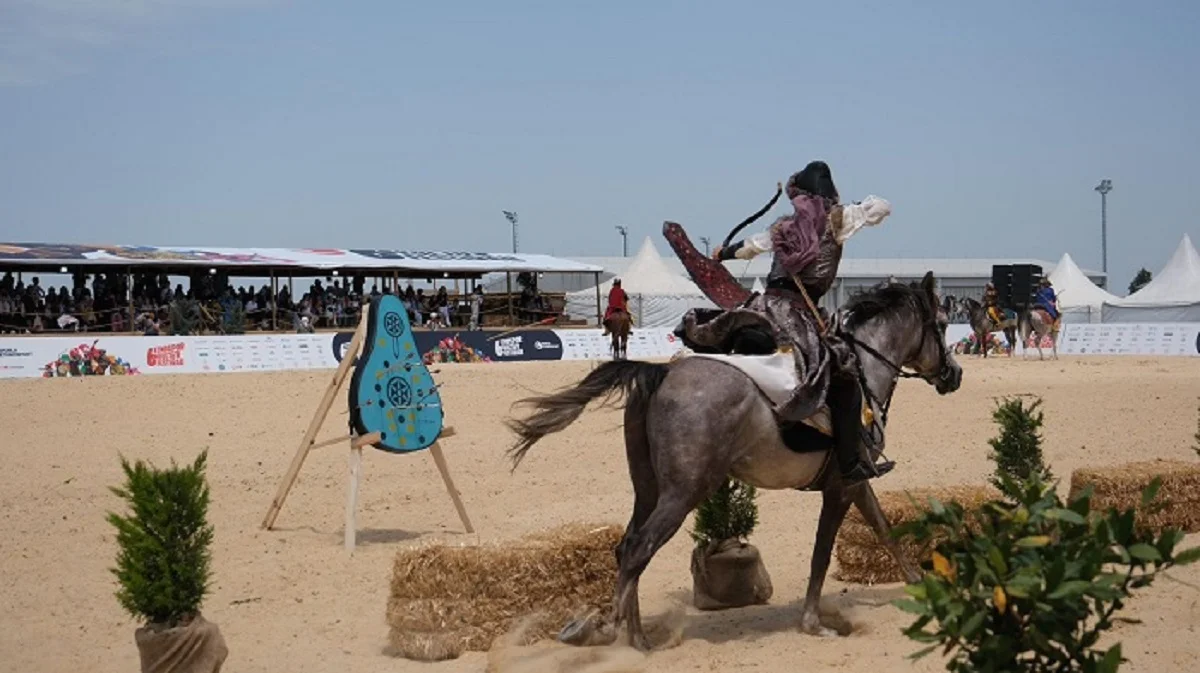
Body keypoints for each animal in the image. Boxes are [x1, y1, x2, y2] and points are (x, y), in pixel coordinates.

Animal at [506, 269, 964, 647]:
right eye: (942, 325)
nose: (954, 375)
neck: (864, 367)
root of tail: (662, 373)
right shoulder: (840, 487)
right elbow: (822, 553)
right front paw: (813, 623)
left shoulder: (854, 482)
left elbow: (885, 529)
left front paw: (920, 586)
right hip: (684, 492)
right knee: (638, 549)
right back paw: (609, 630)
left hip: (650, 490)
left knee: (627, 548)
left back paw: (638, 639)